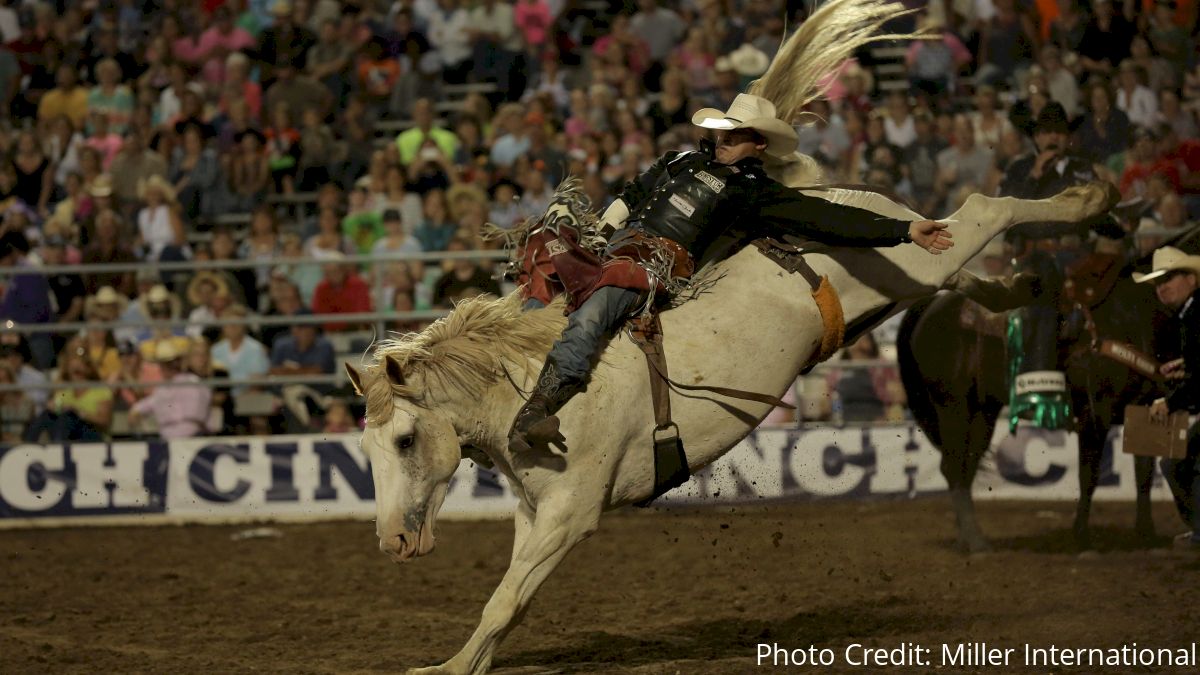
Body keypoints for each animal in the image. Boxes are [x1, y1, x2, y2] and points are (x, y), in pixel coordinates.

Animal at [345, 172, 1113, 667]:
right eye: (368, 449)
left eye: (405, 439)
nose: (389, 540)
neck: (528, 386)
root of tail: (841, 197)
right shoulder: (535, 512)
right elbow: (509, 600)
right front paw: (461, 661)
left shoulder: (572, 512)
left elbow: (504, 600)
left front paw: (444, 668)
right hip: (909, 282)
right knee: (961, 264)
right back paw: (1022, 281)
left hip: (917, 256)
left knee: (979, 211)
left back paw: (1086, 200)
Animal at [897, 228, 1195, 550]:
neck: (1135, 311)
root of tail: (930, 305)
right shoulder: (1095, 411)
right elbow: (1089, 475)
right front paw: (1081, 538)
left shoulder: (1143, 407)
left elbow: (1144, 472)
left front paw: (1146, 533)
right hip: (953, 405)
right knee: (953, 467)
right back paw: (975, 543)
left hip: (983, 410)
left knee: (966, 466)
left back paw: (969, 537)